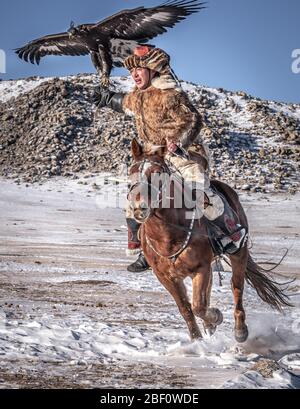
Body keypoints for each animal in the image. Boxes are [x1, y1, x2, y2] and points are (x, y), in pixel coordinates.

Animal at [127, 139, 292, 342]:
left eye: (157, 173)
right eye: (132, 171)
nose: (139, 208)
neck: (168, 236)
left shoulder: (201, 268)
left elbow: (198, 306)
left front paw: (216, 317)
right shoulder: (166, 277)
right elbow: (186, 308)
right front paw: (197, 340)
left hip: (238, 253)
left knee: (236, 286)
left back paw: (240, 330)